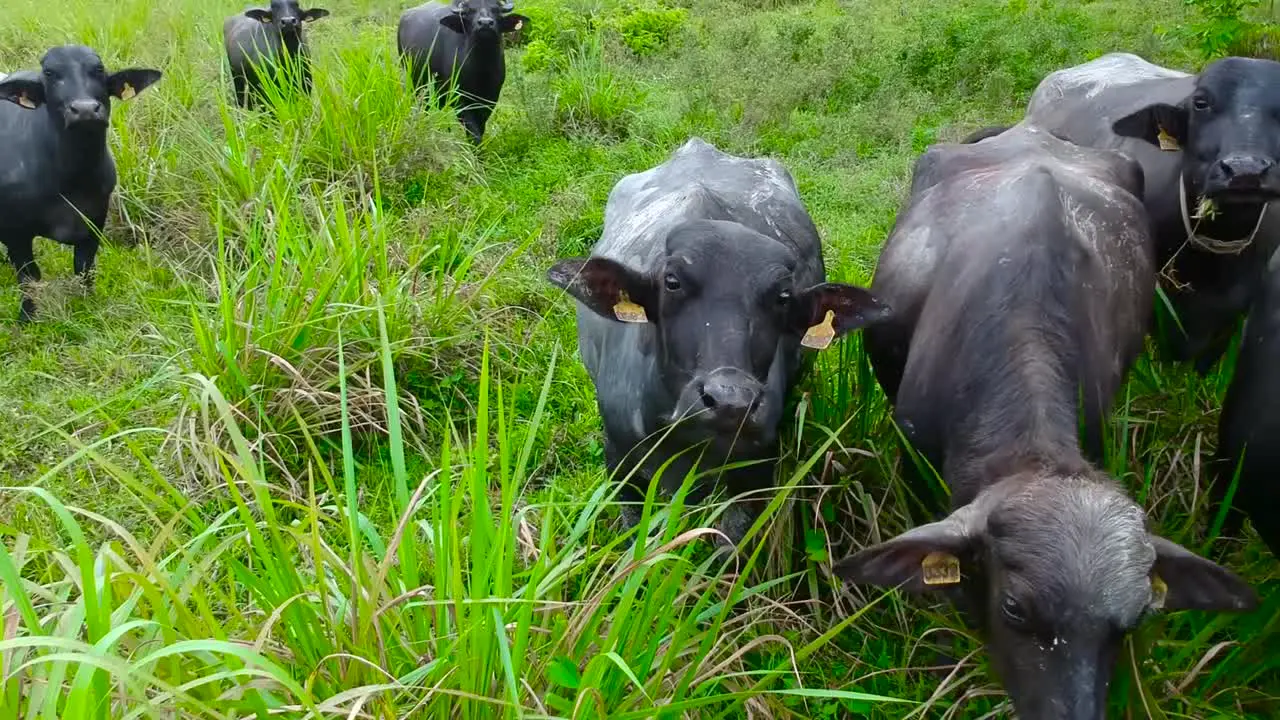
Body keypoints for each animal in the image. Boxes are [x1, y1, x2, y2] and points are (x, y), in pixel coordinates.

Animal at [0, 46, 165, 320]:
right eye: (49, 73)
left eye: (98, 69)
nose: (85, 110)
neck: (70, 180)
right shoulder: (16, 233)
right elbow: (29, 276)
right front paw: (28, 317)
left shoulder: (95, 221)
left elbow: (84, 269)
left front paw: (88, 305)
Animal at [394, 0, 524, 144]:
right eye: (470, 11)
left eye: (496, 10)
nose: (485, 23)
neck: (481, 69)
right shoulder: (460, 100)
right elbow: (473, 132)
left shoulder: (490, 99)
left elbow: (480, 128)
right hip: (416, 84)